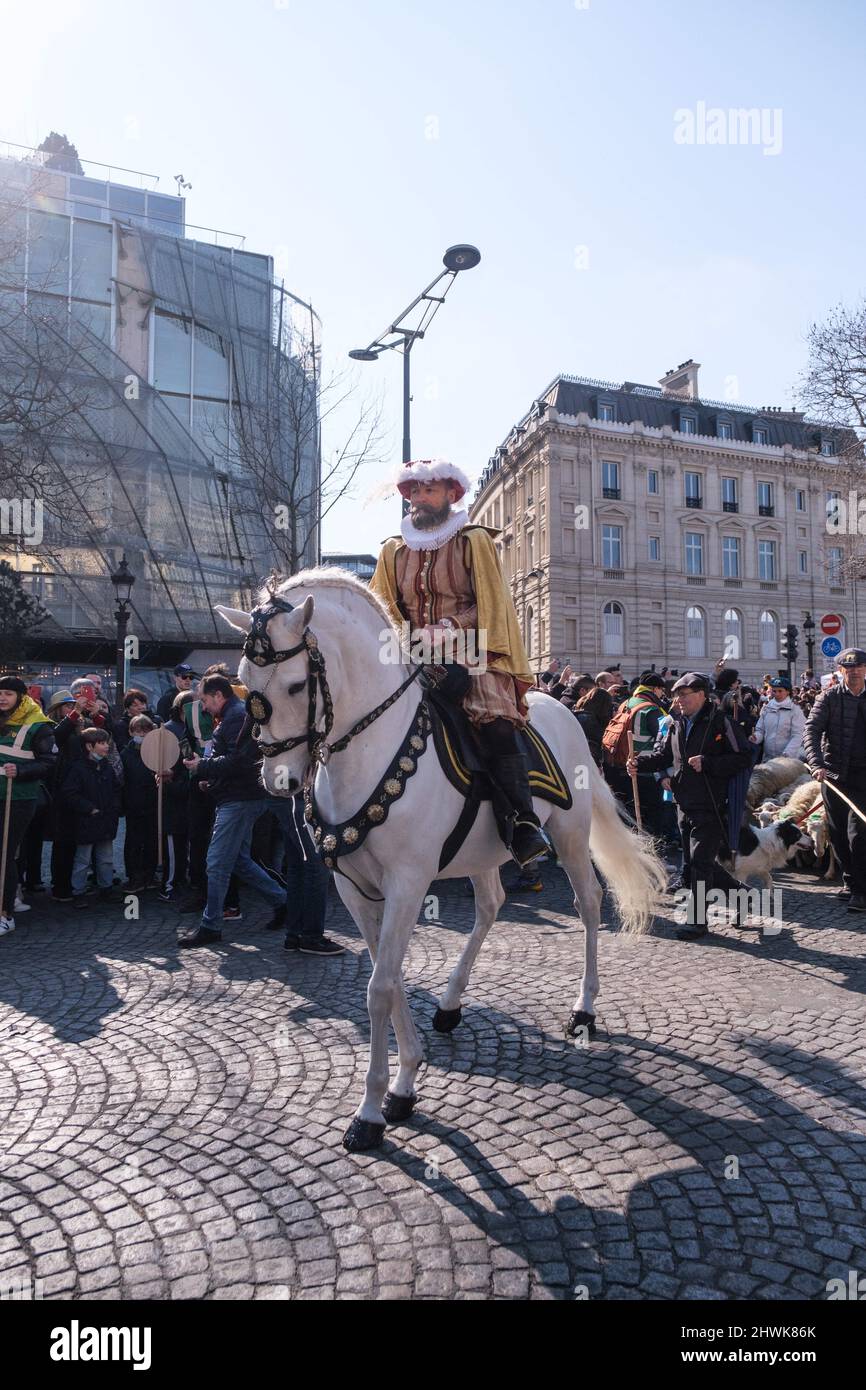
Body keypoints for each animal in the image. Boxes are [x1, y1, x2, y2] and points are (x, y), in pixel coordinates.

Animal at [218, 564, 670, 1150]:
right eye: (245, 680)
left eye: (296, 684)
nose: (279, 781)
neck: (368, 750)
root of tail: (560, 708)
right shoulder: (355, 889)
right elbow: (386, 979)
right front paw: (403, 1087)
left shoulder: (408, 883)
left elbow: (380, 988)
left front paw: (370, 1111)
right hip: (481, 852)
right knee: (490, 905)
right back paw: (452, 1005)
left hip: (570, 835)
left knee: (589, 904)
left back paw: (584, 1010)